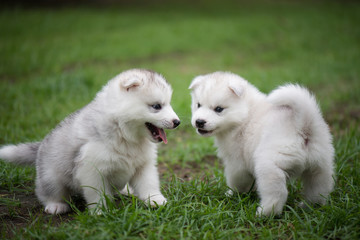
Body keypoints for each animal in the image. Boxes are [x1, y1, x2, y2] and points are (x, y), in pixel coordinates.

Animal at [0, 69, 180, 214]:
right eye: (157, 106)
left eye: (168, 104)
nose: (177, 122)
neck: (124, 133)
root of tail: (40, 146)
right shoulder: (91, 170)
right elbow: (97, 193)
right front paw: (101, 211)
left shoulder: (144, 165)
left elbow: (149, 183)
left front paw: (155, 200)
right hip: (51, 176)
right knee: (48, 192)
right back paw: (55, 206)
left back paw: (126, 190)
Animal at [191, 71, 334, 216]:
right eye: (198, 105)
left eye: (219, 109)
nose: (199, 121)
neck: (244, 115)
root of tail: (303, 125)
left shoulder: (236, 163)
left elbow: (236, 180)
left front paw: (231, 194)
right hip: (320, 166)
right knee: (318, 189)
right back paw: (310, 207)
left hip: (269, 167)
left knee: (277, 193)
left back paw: (263, 213)